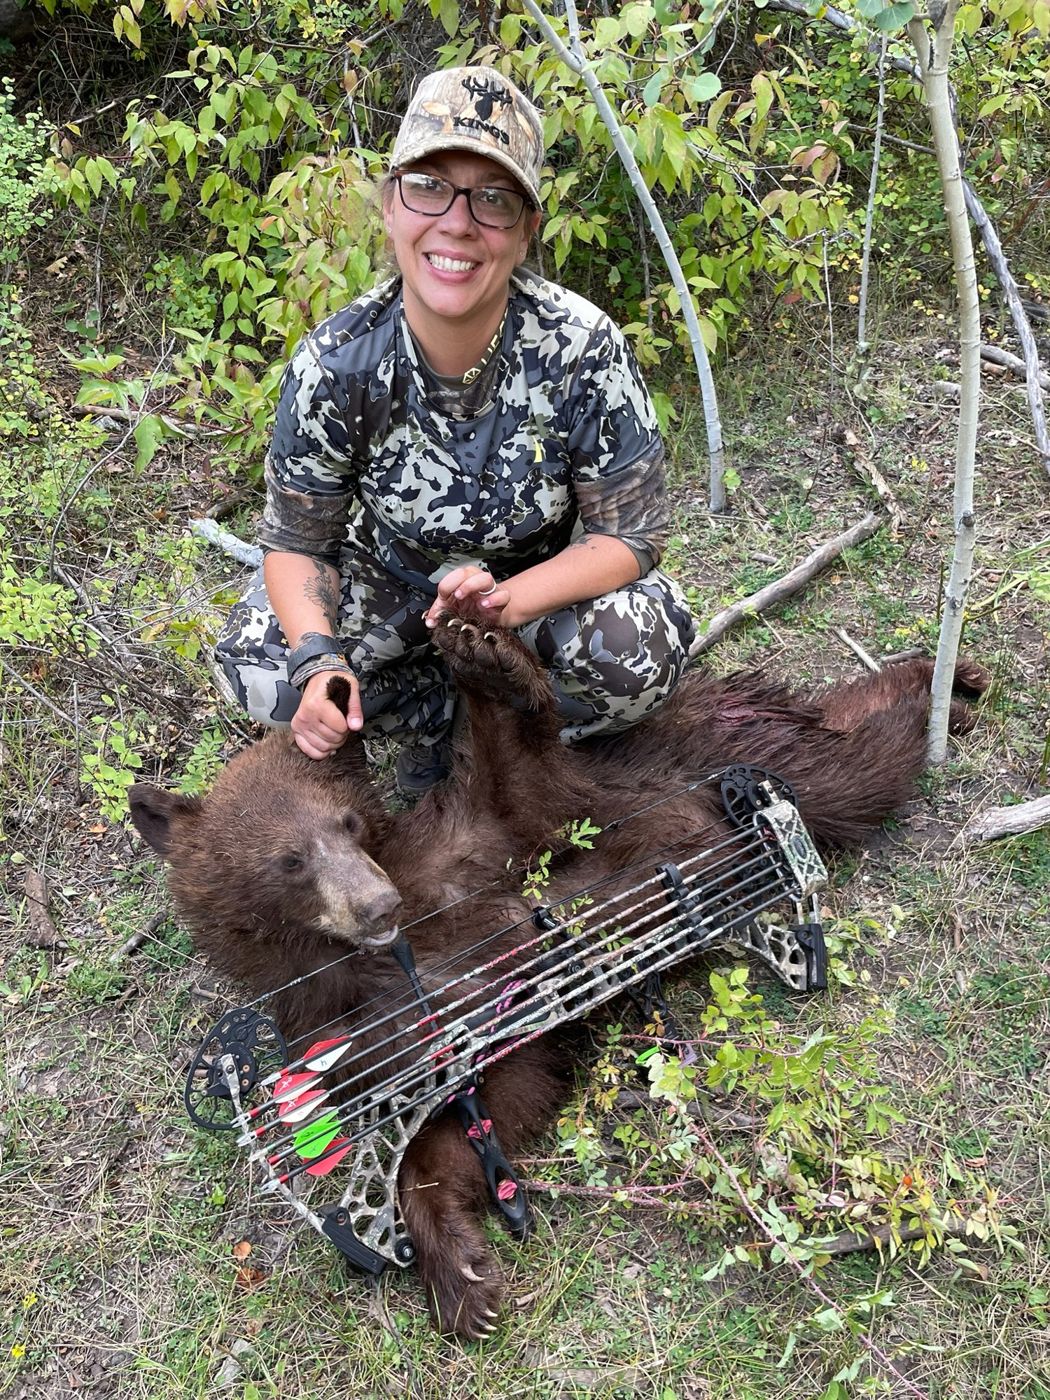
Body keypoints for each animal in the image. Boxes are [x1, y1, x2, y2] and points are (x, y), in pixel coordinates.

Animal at [129, 605, 988, 1340]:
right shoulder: (371, 1038)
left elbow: (518, 781)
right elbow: (476, 1118)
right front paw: (465, 1282)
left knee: (860, 762)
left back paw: (953, 681)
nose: (377, 903)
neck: (388, 956)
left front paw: (486, 652)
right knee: (853, 760)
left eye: (346, 823)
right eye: (290, 859)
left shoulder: (478, 844)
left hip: (692, 765)